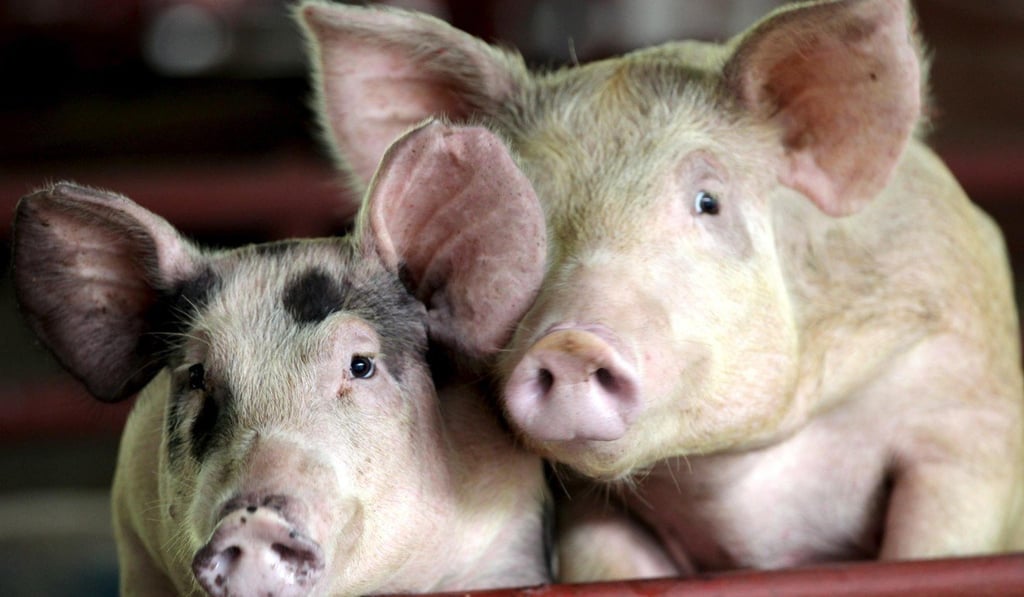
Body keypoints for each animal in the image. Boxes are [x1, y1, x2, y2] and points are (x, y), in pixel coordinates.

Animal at [299, 0, 1024, 582]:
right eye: (521, 218)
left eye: (709, 202)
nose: (569, 341)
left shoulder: (969, 421)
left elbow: (931, 547)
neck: (730, 480)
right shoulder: (589, 509)